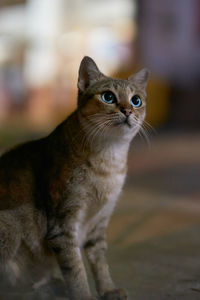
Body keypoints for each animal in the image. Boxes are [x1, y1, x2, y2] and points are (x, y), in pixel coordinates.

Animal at [0, 56, 149, 300]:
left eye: (136, 100)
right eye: (108, 97)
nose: (128, 110)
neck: (109, 163)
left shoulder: (100, 220)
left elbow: (99, 262)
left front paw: (108, 289)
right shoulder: (64, 225)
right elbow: (75, 267)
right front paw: (84, 295)